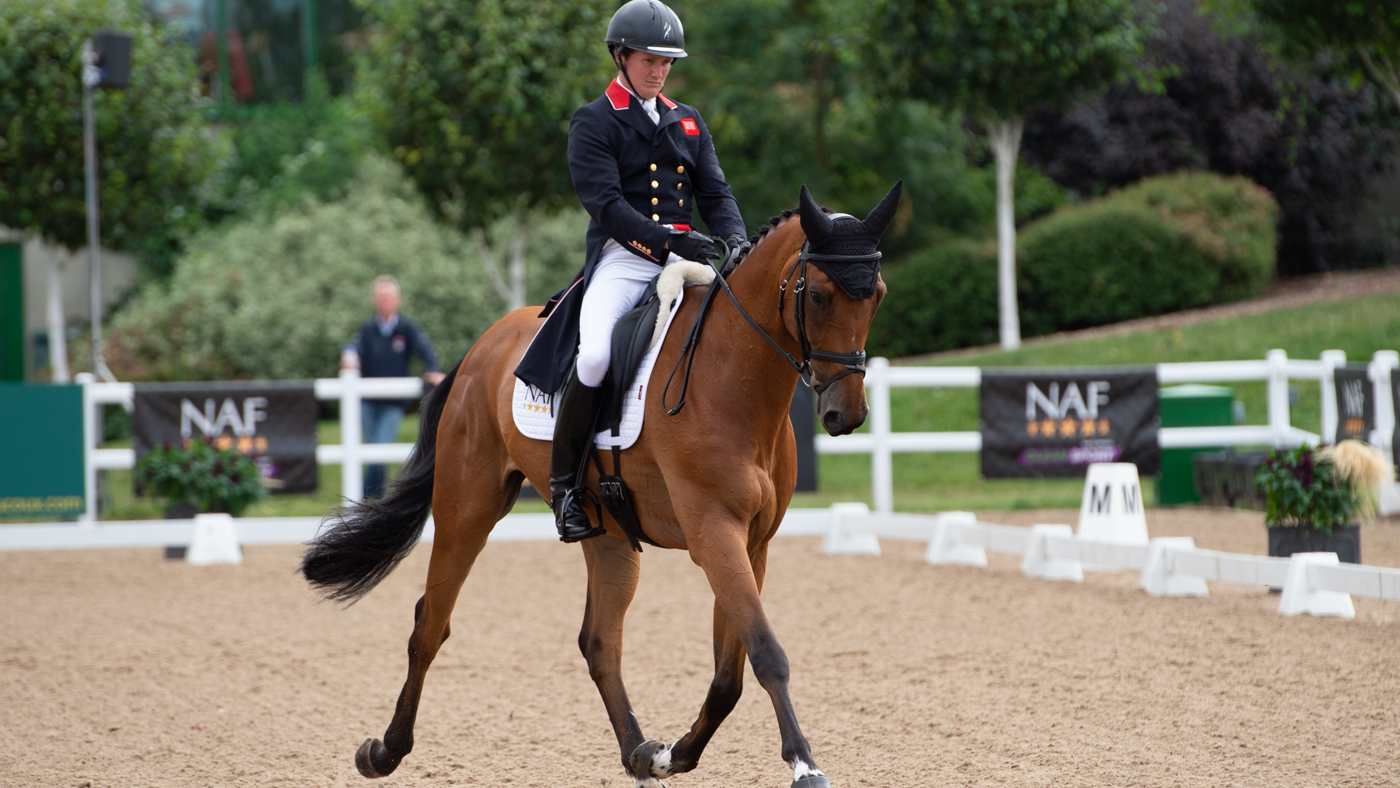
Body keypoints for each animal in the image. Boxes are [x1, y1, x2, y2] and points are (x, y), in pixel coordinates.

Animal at [301, 182, 902, 788]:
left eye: (876, 294)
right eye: (820, 295)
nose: (845, 414)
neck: (733, 379)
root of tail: (481, 349)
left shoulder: (752, 543)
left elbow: (728, 675)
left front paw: (672, 756)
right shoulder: (714, 533)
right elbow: (766, 652)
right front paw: (805, 765)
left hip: (609, 536)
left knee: (599, 642)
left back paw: (638, 752)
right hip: (466, 508)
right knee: (431, 623)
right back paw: (384, 751)